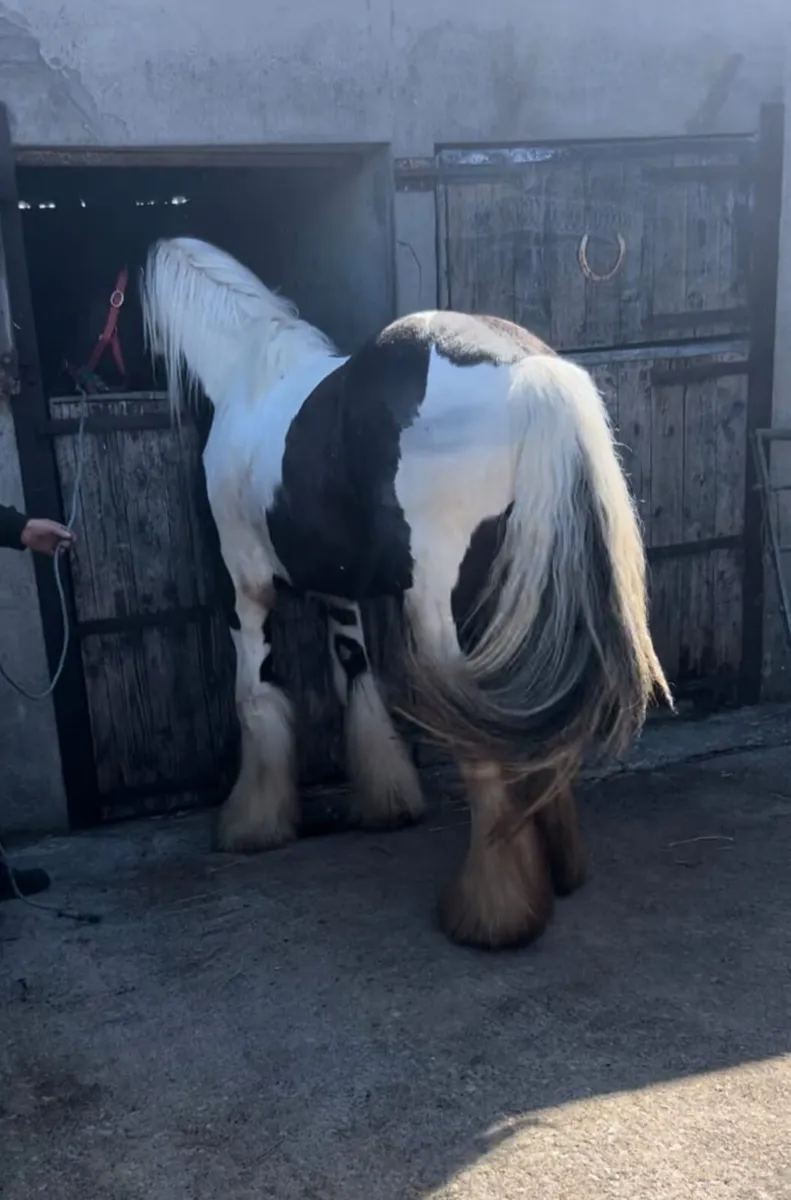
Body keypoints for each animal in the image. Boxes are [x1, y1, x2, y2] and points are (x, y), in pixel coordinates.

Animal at [140, 235, 672, 951]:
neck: (249, 374)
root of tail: (528, 371)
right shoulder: (339, 593)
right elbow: (359, 683)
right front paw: (385, 802)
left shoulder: (246, 592)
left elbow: (256, 697)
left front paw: (252, 824)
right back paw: (556, 869)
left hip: (440, 617)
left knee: (481, 737)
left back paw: (492, 915)